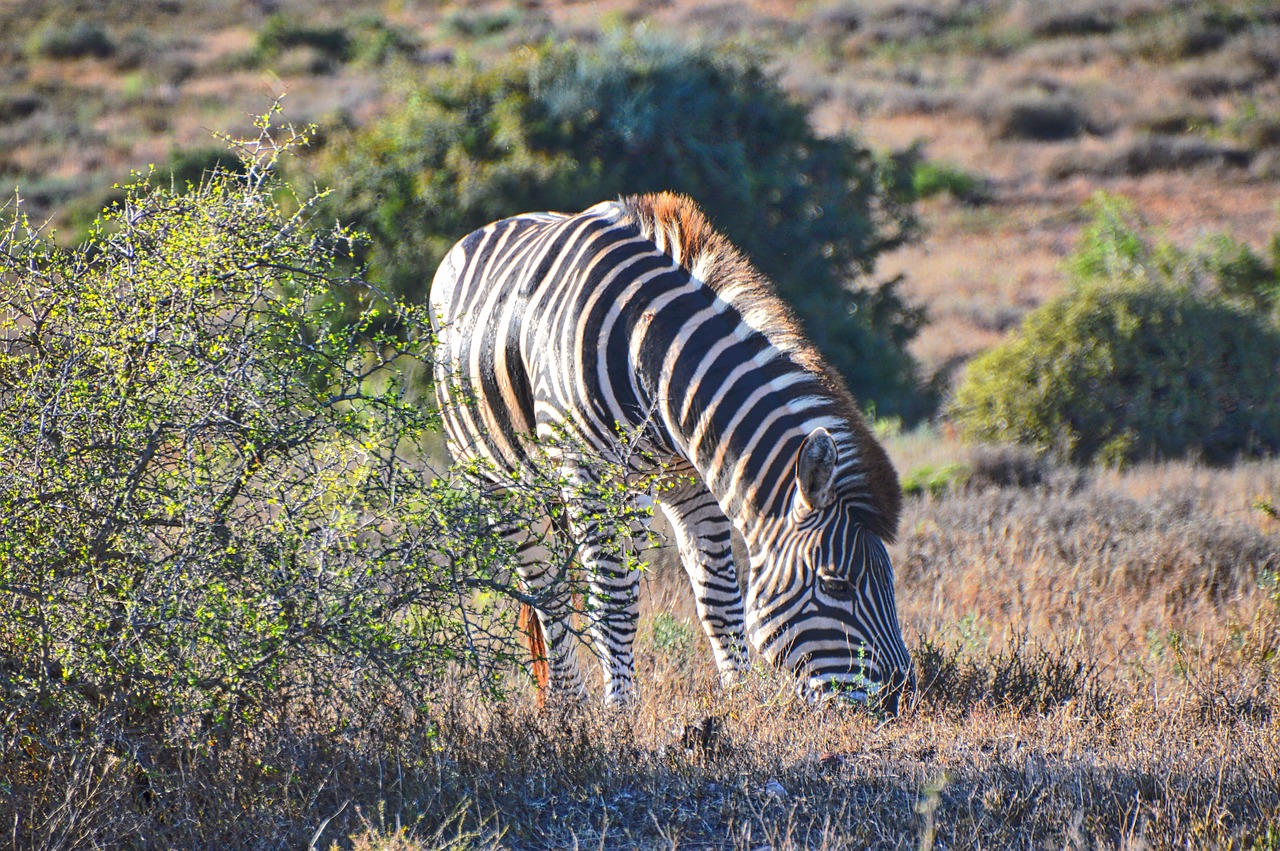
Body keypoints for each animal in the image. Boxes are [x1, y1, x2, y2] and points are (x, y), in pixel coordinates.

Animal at [430, 191, 911, 711]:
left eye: (890, 580)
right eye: (834, 584)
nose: (903, 700)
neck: (652, 356)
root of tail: (490, 226)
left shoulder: (693, 480)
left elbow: (719, 598)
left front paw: (740, 702)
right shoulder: (590, 478)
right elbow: (615, 605)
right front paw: (621, 715)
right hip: (494, 480)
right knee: (547, 593)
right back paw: (567, 707)